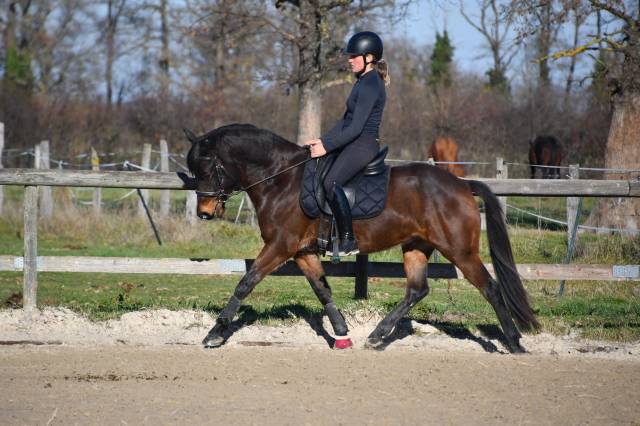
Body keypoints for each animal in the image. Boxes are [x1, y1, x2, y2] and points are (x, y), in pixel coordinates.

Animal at [185, 124, 539, 353]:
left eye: (208, 168)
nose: (204, 212)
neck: (281, 180)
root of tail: (462, 184)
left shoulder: (280, 246)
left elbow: (246, 282)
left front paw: (215, 334)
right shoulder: (302, 251)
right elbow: (322, 290)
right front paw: (342, 334)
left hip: (460, 251)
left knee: (490, 287)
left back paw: (514, 343)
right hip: (416, 246)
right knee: (417, 290)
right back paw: (378, 336)